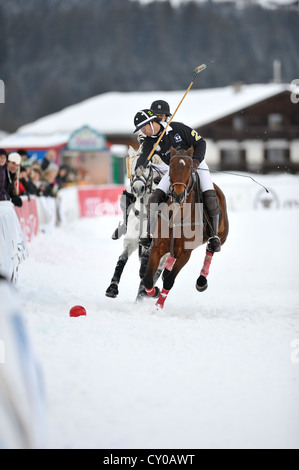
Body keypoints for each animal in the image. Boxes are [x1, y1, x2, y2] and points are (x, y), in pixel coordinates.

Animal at [105, 147, 168, 302]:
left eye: (148, 166)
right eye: (132, 166)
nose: (138, 188)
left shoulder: (152, 245)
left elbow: (145, 270)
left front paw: (150, 291)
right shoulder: (131, 241)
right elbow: (122, 259)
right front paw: (112, 288)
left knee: (158, 268)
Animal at [143, 147, 230, 308]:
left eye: (190, 168)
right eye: (171, 166)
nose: (178, 195)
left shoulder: (185, 253)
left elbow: (170, 281)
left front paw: (158, 307)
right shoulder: (157, 247)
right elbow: (147, 280)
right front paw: (155, 292)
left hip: (222, 235)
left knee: (211, 249)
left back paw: (201, 281)